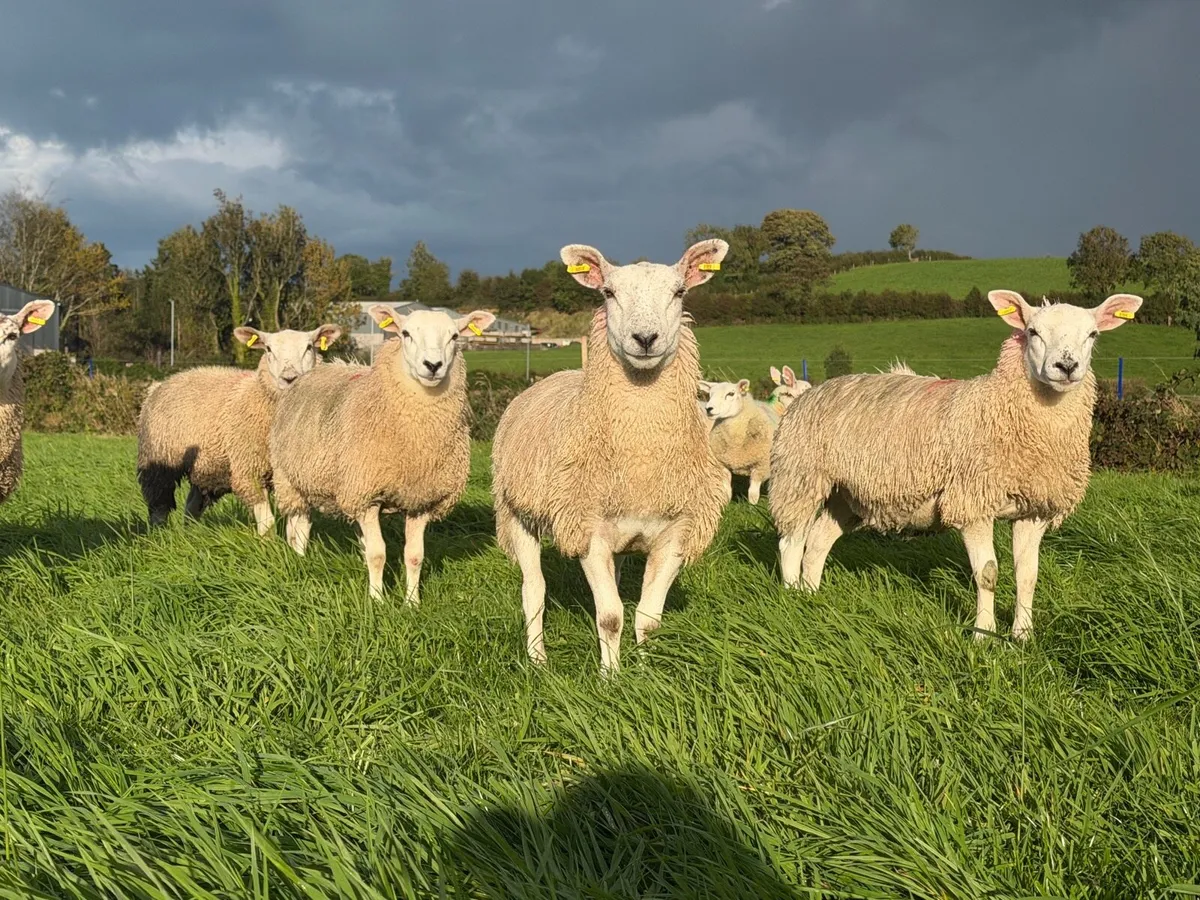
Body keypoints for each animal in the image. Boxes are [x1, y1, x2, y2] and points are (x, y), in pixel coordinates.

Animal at [136, 323, 342, 533]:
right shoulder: (249, 471)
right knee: (159, 505)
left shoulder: (294, 474)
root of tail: (162, 382)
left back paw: (190, 532)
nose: (289, 378)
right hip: (159, 461)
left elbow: (299, 522)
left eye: (309, 347)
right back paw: (159, 533)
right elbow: (267, 523)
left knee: (192, 506)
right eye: (268, 349)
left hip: (205, 466)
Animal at [268, 306, 495, 603]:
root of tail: (319, 369)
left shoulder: (421, 499)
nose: (433, 365)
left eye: (455, 336)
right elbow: (377, 555)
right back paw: (298, 559)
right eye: (405, 333)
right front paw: (376, 601)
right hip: (289, 479)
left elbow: (414, 556)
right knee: (298, 527)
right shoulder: (366, 496)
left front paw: (412, 602)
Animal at [491, 239, 731, 674]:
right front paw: (610, 677)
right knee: (533, 590)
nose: (645, 338)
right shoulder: (588, 529)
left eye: (679, 292)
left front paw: (644, 673)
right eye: (608, 293)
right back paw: (537, 658)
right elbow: (610, 616)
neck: (640, 457)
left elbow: (648, 619)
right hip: (516, 512)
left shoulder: (677, 531)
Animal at [769, 290, 1143, 642]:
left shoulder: (1034, 508)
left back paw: (812, 596)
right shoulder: (972, 502)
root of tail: (811, 392)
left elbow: (1028, 575)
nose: (1066, 367)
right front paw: (984, 636)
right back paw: (792, 596)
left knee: (817, 542)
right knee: (791, 542)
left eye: (1092, 334)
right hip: (799, 475)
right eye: (1033, 331)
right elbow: (987, 574)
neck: (1002, 409)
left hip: (847, 494)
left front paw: (1023, 636)